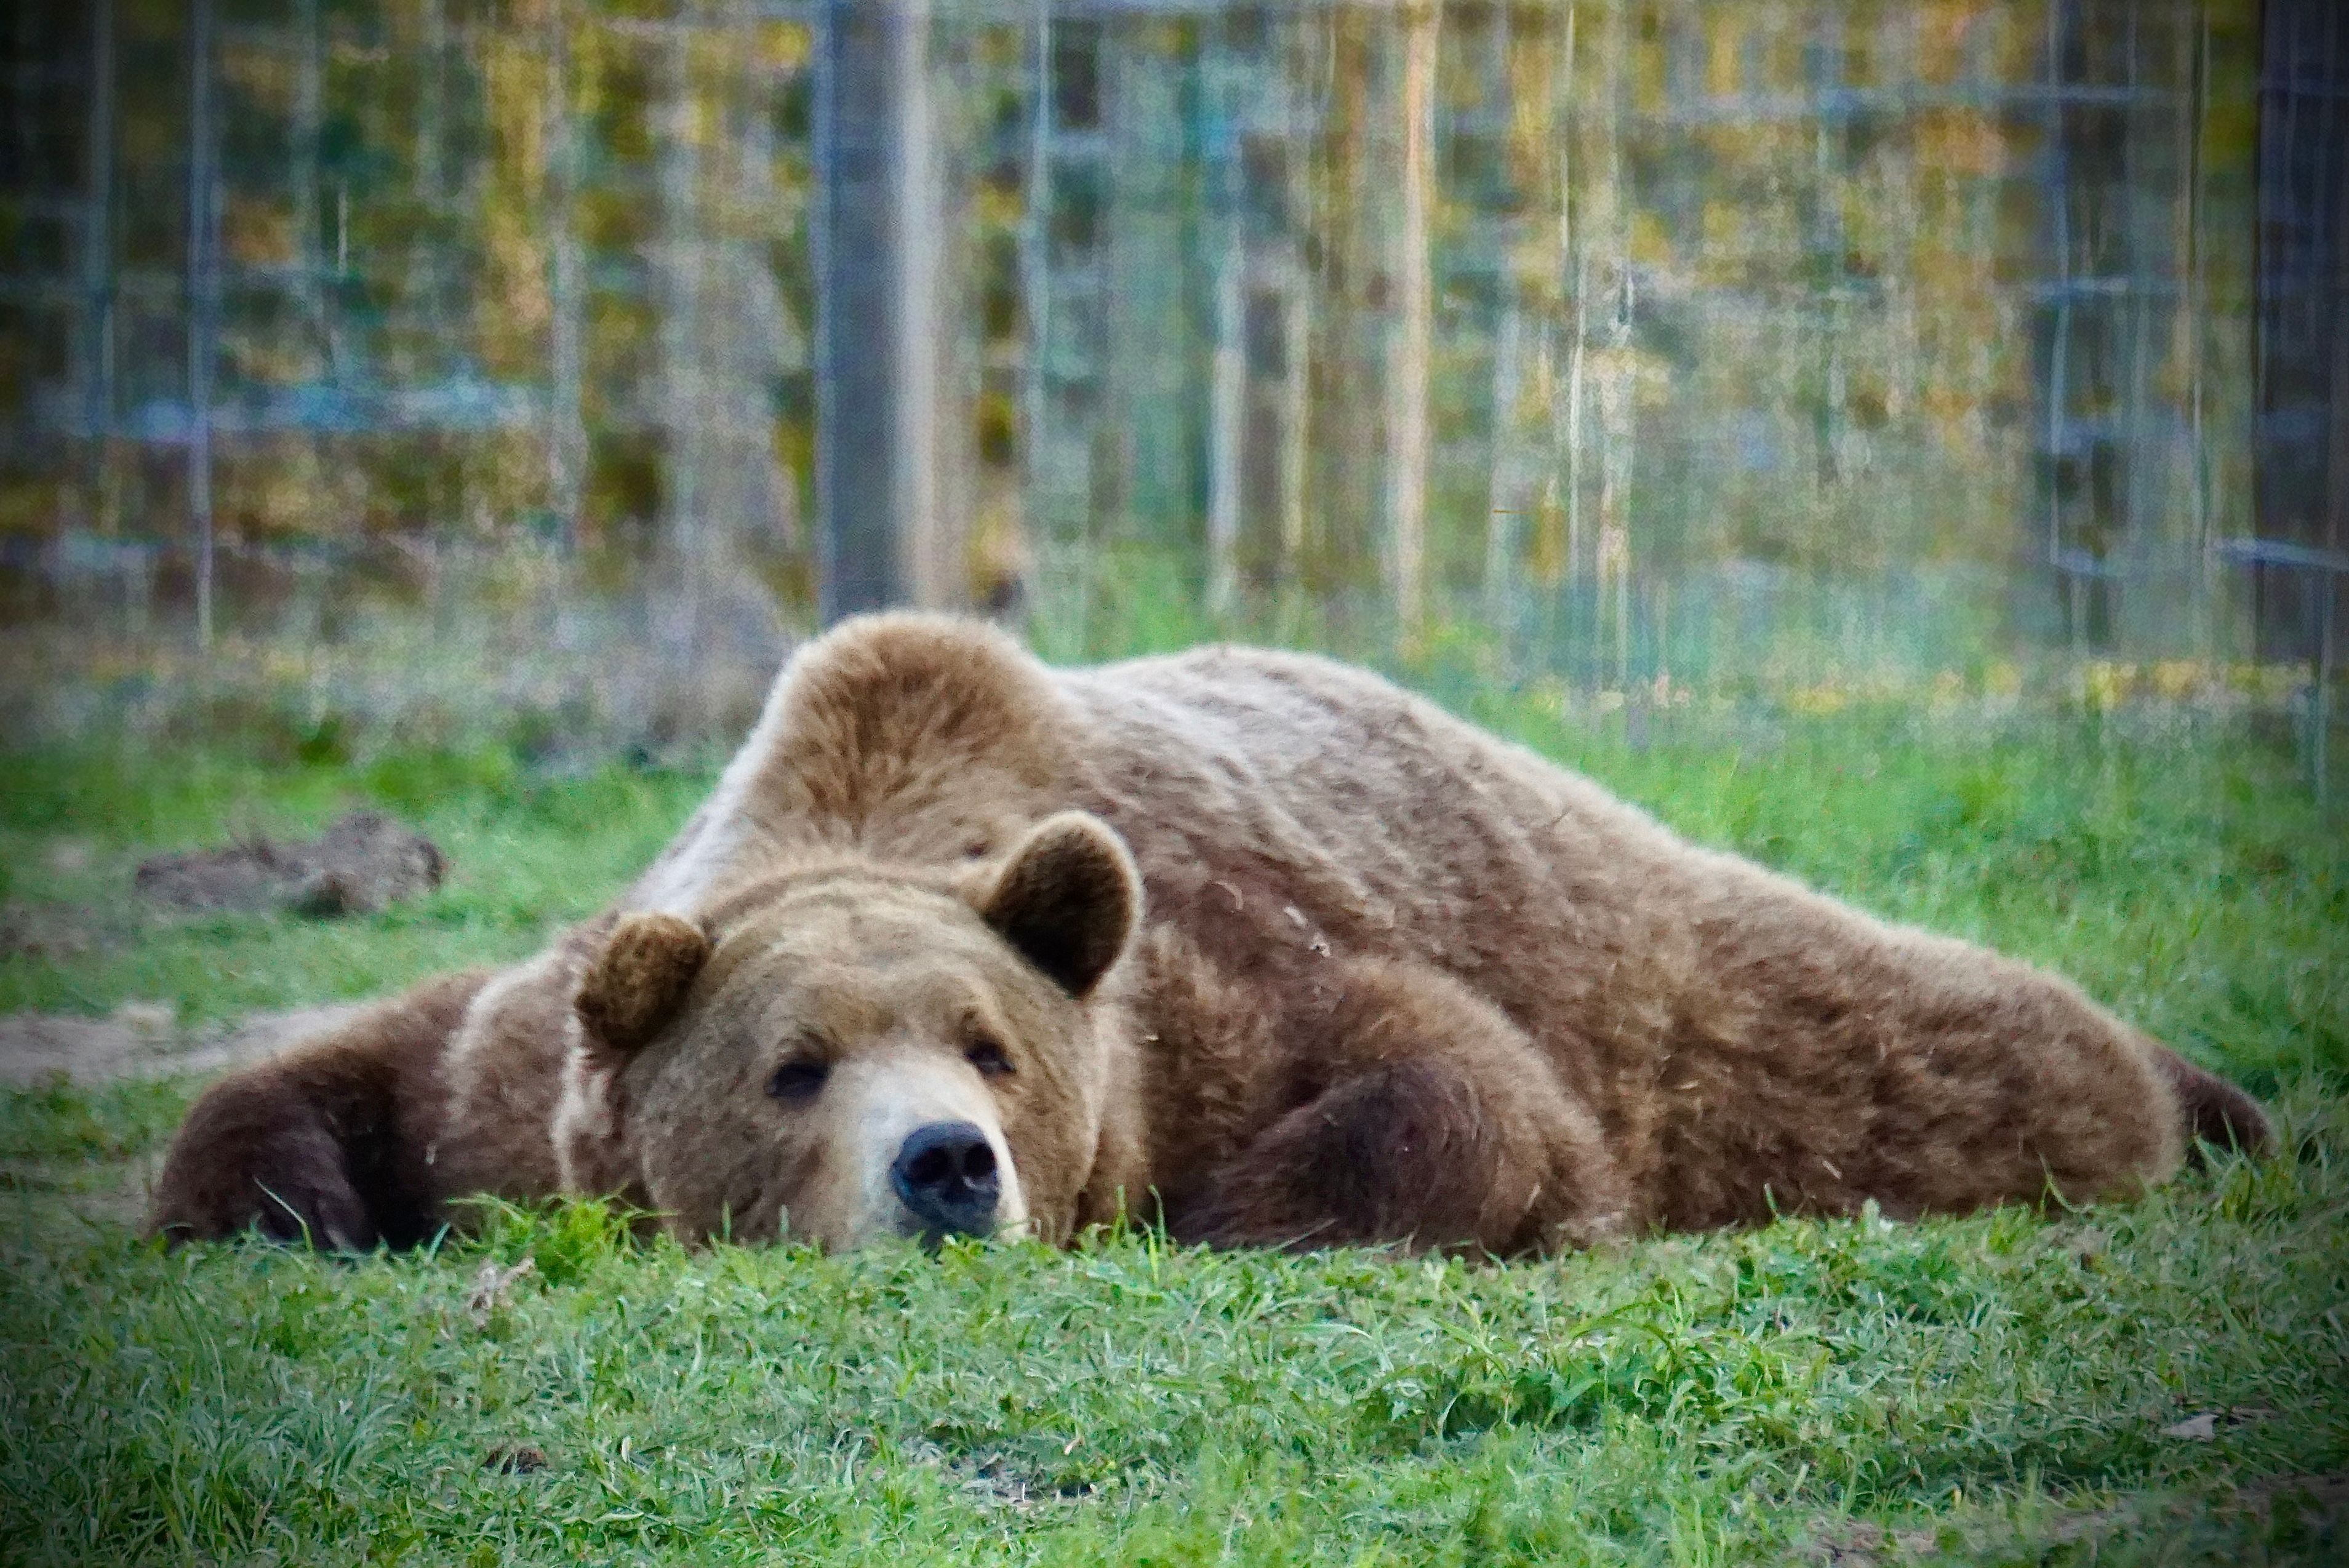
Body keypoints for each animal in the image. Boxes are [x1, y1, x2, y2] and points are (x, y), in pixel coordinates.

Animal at [149, 613, 2271, 1256]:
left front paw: (1245, 1208)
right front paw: (283, 1203)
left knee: (1961, 1040)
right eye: (793, 1067)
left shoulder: (1208, 979)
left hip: (1742, 997)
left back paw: (2195, 1095)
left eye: (991, 1048)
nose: (948, 1168)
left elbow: (1464, 1091)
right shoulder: (525, 1066)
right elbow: (343, 1072)